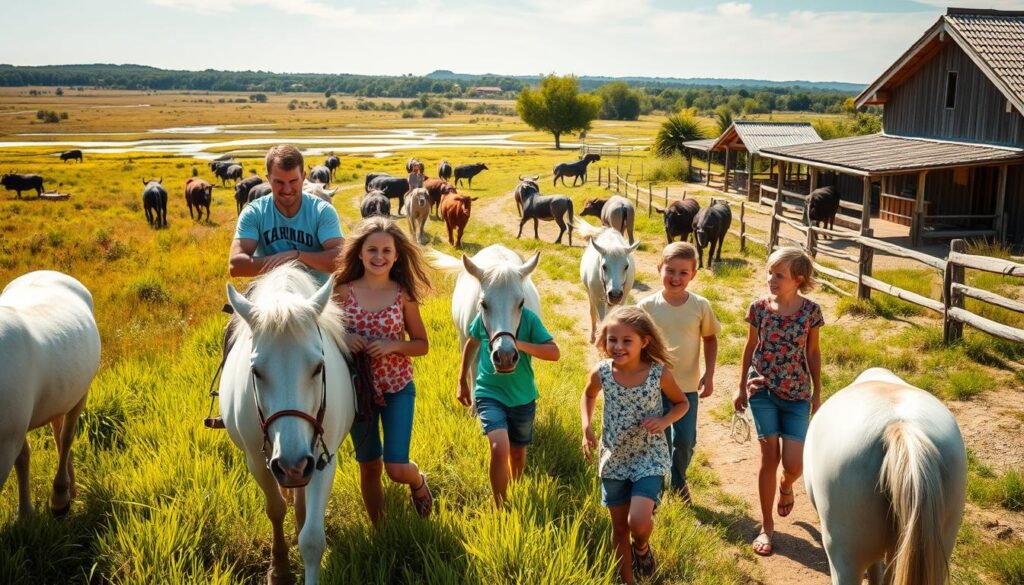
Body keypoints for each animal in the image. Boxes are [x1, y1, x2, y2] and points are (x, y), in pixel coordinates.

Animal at [221, 266, 356, 585]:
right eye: (256, 371)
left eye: (319, 367)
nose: (292, 464)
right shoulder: (257, 461)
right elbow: (275, 509)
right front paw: (280, 568)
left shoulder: (323, 458)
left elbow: (312, 538)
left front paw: (302, 536)